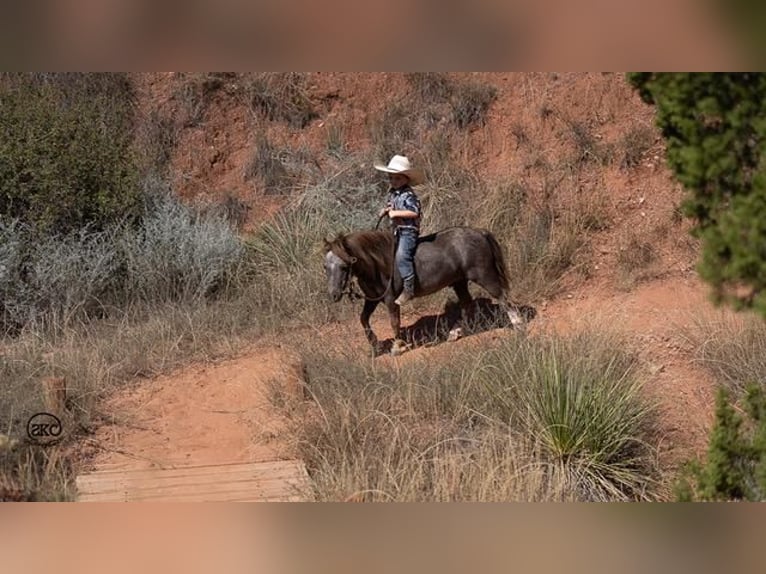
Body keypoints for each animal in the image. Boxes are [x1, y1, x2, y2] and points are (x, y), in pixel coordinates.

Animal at [320, 226, 524, 354]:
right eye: (325, 267)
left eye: (344, 266)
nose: (334, 295)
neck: (377, 264)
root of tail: (481, 233)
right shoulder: (372, 300)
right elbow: (363, 319)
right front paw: (374, 343)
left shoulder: (390, 300)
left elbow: (394, 322)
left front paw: (397, 347)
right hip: (459, 282)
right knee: (467, 303)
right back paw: (455, 333)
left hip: (484, 276)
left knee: (503, 297)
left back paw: (517, 324)